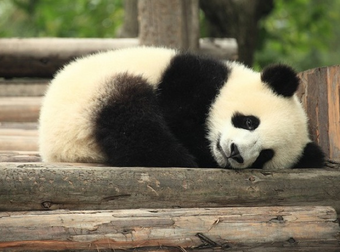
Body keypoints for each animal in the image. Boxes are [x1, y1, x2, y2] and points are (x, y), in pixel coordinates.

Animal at [38, 46, 326, 170]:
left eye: (266, 154)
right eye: (249, 121)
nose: (235, 153)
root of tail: (51, 147)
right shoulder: (190, 80)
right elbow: (178, 118)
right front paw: (198, 150)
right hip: (88, 99)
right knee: (131, 119)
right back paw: (180, 157)